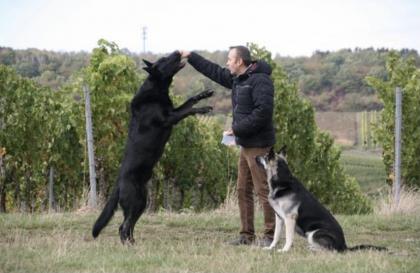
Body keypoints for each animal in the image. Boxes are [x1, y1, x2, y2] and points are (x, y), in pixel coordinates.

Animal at [93, 51, 215, 242]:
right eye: (164, 60)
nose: (178, 51)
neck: (156, 89)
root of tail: (117, 185)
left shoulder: (173, 111)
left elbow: (189, 100)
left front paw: (204, 94)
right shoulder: (169, 118)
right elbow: (188, 110)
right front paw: (203, 109)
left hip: (142, 202)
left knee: (127, 227)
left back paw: (133, 244)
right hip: (135, 201)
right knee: (123, 227)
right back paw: (128, 245)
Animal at [254, 147, 386, 251]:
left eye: (265, 157)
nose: (255, 157)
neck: (282, 183)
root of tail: (344, 246)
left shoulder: (289, 218)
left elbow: (288, 237)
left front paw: (285, 250)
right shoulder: (280, 218)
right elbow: (276, 236)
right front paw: (270, 248)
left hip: (313, 233)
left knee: (329, 250)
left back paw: (313, 249)